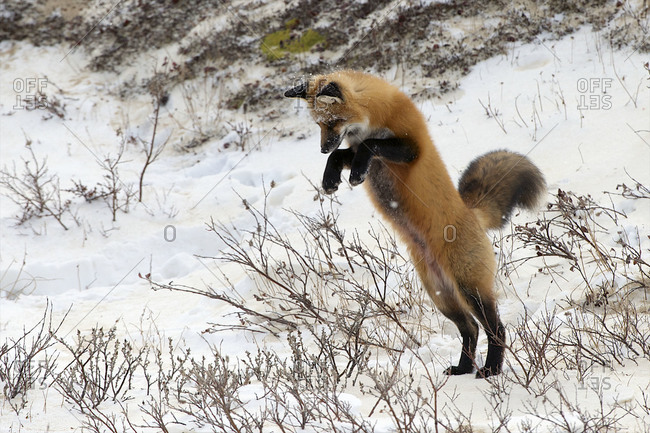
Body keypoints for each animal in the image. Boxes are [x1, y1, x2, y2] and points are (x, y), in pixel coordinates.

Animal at [284, 70, 545, 377]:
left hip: (470, 289)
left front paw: (354, 172)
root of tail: (472, 212)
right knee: (470, 329)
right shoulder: (357, 149)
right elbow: (345, 154)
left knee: (496, 329)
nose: (323, 148)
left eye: (332, 122)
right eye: (319, 125)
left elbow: (371, 146)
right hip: (442, 296)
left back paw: (491, 369)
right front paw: (330, 178)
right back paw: (462, 368)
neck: (375, 117)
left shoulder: (411, 148)